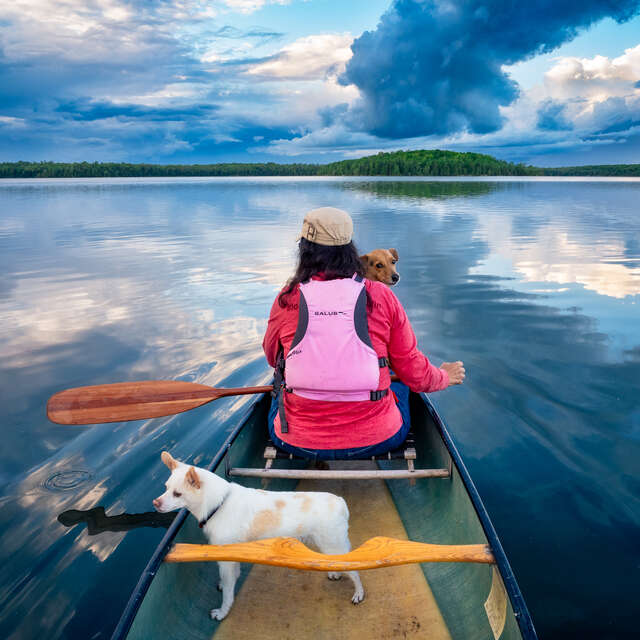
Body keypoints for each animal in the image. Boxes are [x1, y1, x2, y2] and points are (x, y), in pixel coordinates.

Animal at [151, 450, 364, 620]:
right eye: (166, 487)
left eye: (177, 494)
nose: (155, 503)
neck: (218, 504)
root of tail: (340, 502)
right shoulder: (233, 557)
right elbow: (231, 579)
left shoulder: (226, 560)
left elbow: (227, 592)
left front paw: (222, 612)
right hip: (329, 547)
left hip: (333, 545)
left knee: (354, 570)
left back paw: (359, 594)